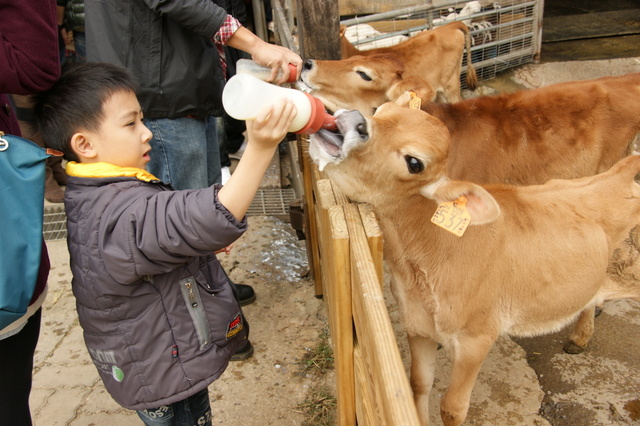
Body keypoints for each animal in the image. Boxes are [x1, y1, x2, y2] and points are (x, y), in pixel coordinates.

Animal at [310, 102, 640, 422]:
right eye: (380, 110)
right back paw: (580, 336)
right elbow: (419, 383)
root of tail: (622, 172)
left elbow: (452, 407)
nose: (353, 119)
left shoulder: (477, 338)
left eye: (415, 163)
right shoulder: (417, 326)